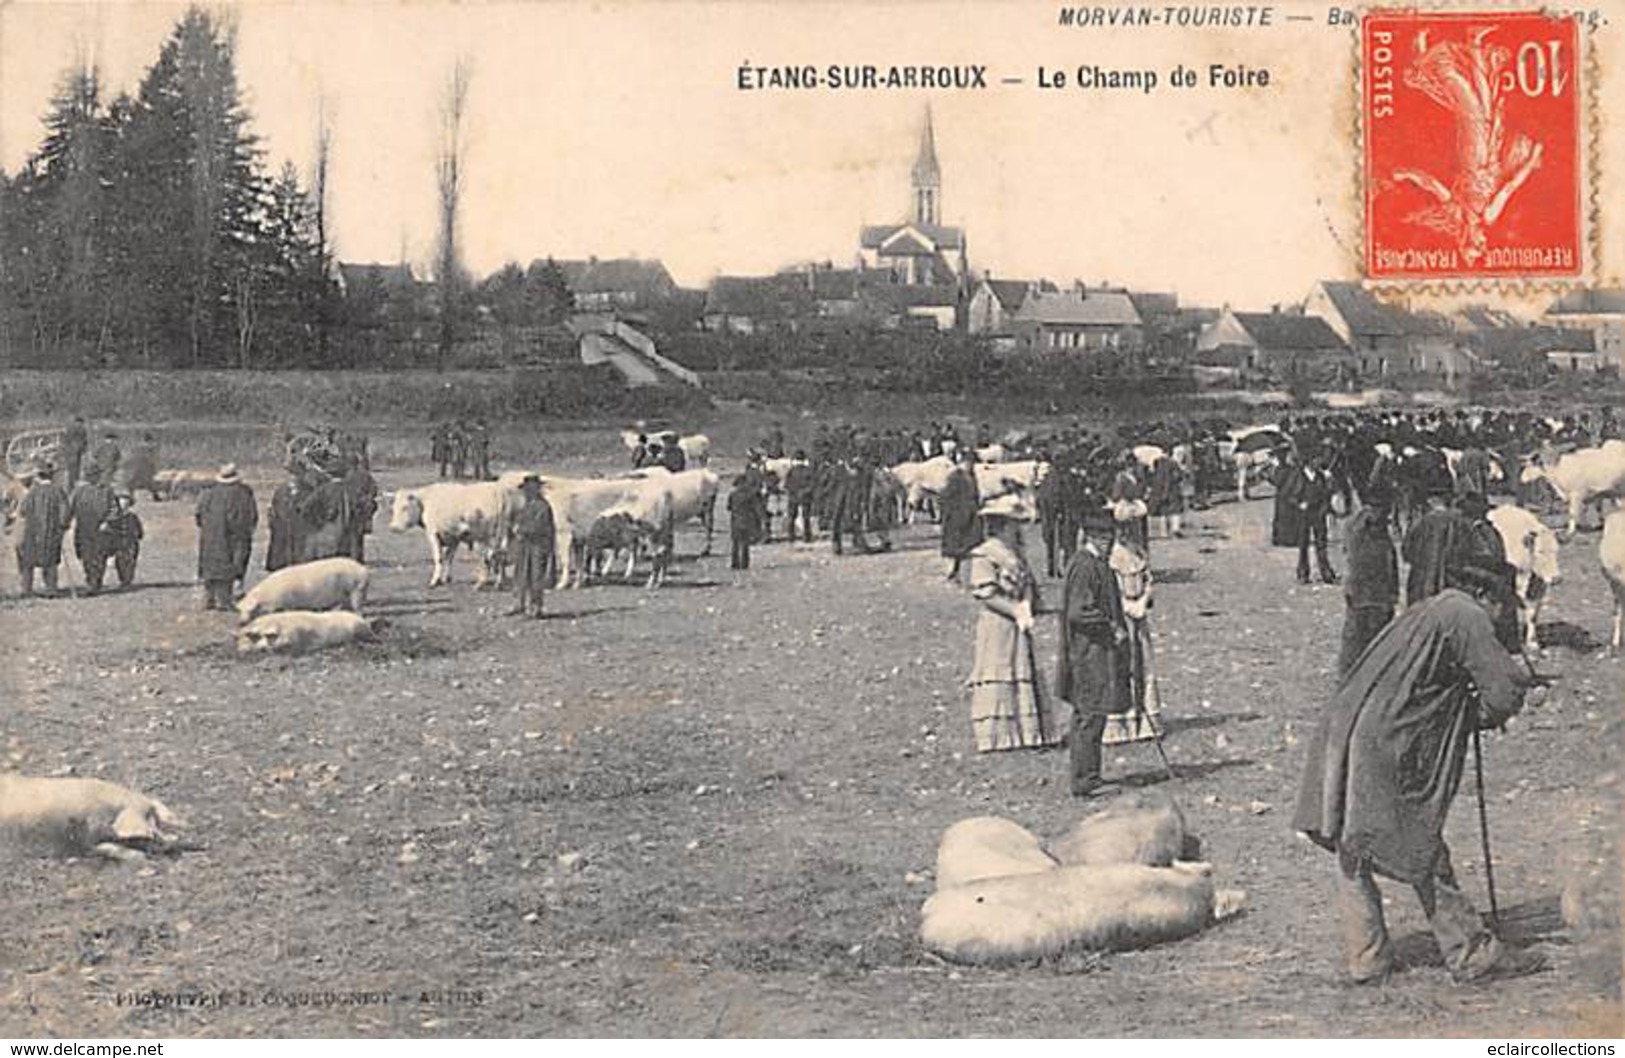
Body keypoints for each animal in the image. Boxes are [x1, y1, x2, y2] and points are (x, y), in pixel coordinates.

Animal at [0, 773, 188, 864]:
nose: (173, 843)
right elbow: (106, 848)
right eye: (149, 830)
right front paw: (140, 858)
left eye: (155, 820)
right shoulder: (86, 840)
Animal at [388, 481, 520, 588]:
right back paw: (499, 582)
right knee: (500, 556)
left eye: (405, 507)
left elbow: (439, 557)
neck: (427, 501)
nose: (393, 527)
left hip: (487, 537)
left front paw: (435, 580)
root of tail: (499, 493)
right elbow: (449, 558)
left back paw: (481, 583)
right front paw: (446, 578)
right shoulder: (453, 538)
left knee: (489, 557)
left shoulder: (433, 534)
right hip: (504, 536)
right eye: (393, 508)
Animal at [1488, 507, 1560, 653]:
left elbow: (1532, 616)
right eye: (1540, 551)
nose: (1556, 578)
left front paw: (1532, 643)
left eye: (1556, 550)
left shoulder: (1538, 592)